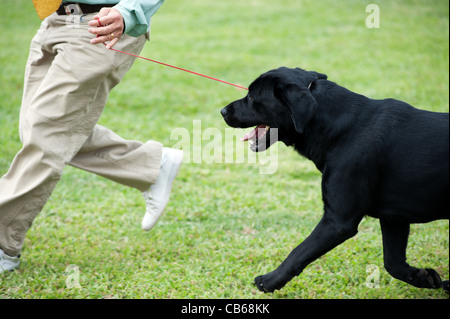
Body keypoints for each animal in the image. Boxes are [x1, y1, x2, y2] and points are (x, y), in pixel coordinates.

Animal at [221, 67, 450, 296]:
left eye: (252, 97)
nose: (223, 111)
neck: (336, 129)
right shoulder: (394, 217)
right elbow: (393, 263)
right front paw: (424, 278)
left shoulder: (338, 221)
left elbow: (299, 252)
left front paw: (269, 280)